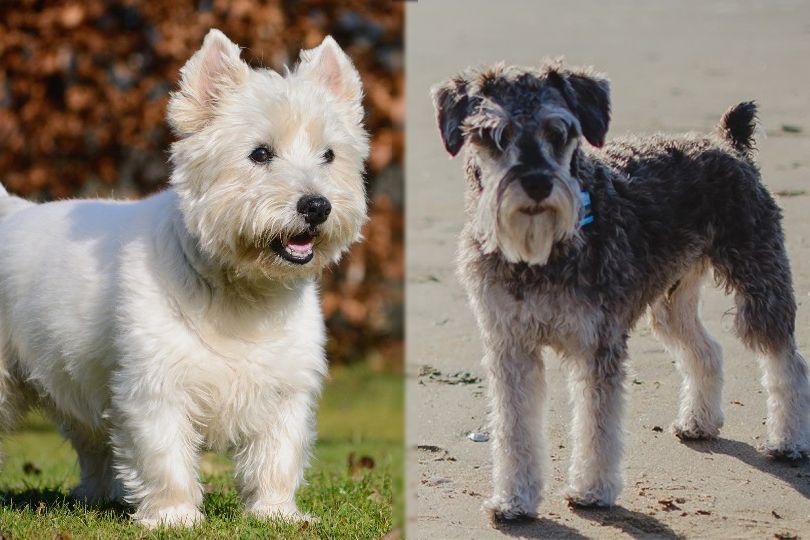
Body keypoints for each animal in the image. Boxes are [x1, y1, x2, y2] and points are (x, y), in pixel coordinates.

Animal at [0, 29, 370, 528]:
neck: (243, 291)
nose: (317, 206)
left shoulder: (285, 388)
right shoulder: (154, 385)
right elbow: (166, 455)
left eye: (329, 155)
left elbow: (278, 454)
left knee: (92, 443)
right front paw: (175, 517)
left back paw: (98, 496)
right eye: (260, 153)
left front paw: (277, 515)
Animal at [432, 61, 808, 520]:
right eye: (496, 135)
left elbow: (598, 425)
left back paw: (788, 442)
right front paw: (514, 500)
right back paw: (699, 422)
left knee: (785, 360)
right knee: (706, 350)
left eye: (559, 132)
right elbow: (514, 428)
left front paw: (592, 491)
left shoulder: (597, 343)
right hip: (671, 303)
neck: (542, 252)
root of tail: (729, 145)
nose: (537, 184)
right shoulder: (510, 346)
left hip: (760, 284)